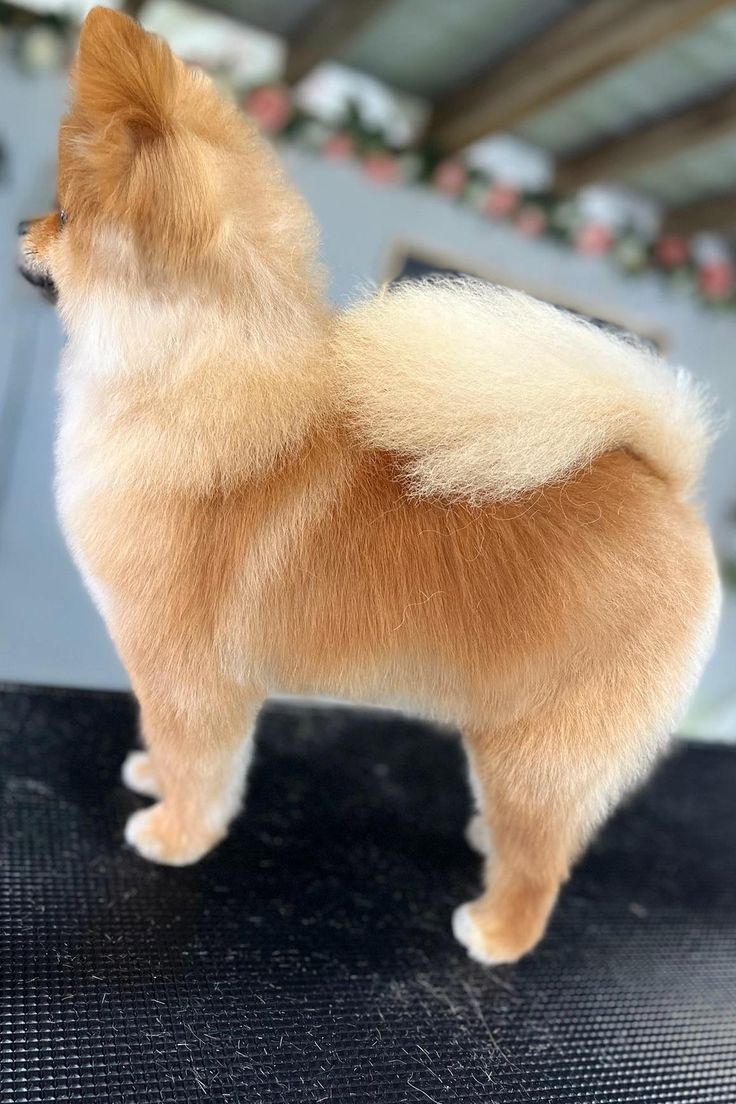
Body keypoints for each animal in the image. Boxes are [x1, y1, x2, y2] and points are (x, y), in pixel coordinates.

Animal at [15, 10, 719, 967]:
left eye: (64, 212)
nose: (22, 226)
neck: (186, 384)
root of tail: (667, 481)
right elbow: (177, 747)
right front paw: (153, 779)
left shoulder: (184, 669)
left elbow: (198, 758)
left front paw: (175, 834)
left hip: (544, 745)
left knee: (546, 860)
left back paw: (496, 930)